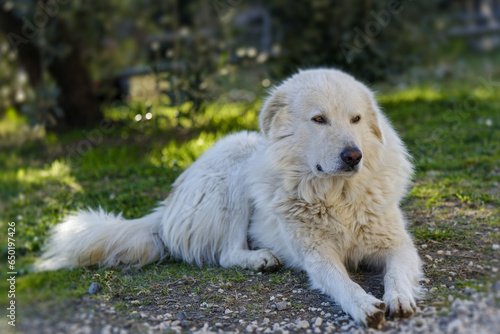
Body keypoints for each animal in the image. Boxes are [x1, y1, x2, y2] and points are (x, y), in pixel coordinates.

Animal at [37, 68, 424, 328]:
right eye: (319, 119)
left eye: (356, 119)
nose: (353, 156)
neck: (337, 196)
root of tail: (167, 206)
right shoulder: (317, 255)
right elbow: (342, 283)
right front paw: (363, 305)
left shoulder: (397, 245)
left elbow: (397, 273)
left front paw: (399, 297)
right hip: (236, 170)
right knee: (226, 254)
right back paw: (260, 259)